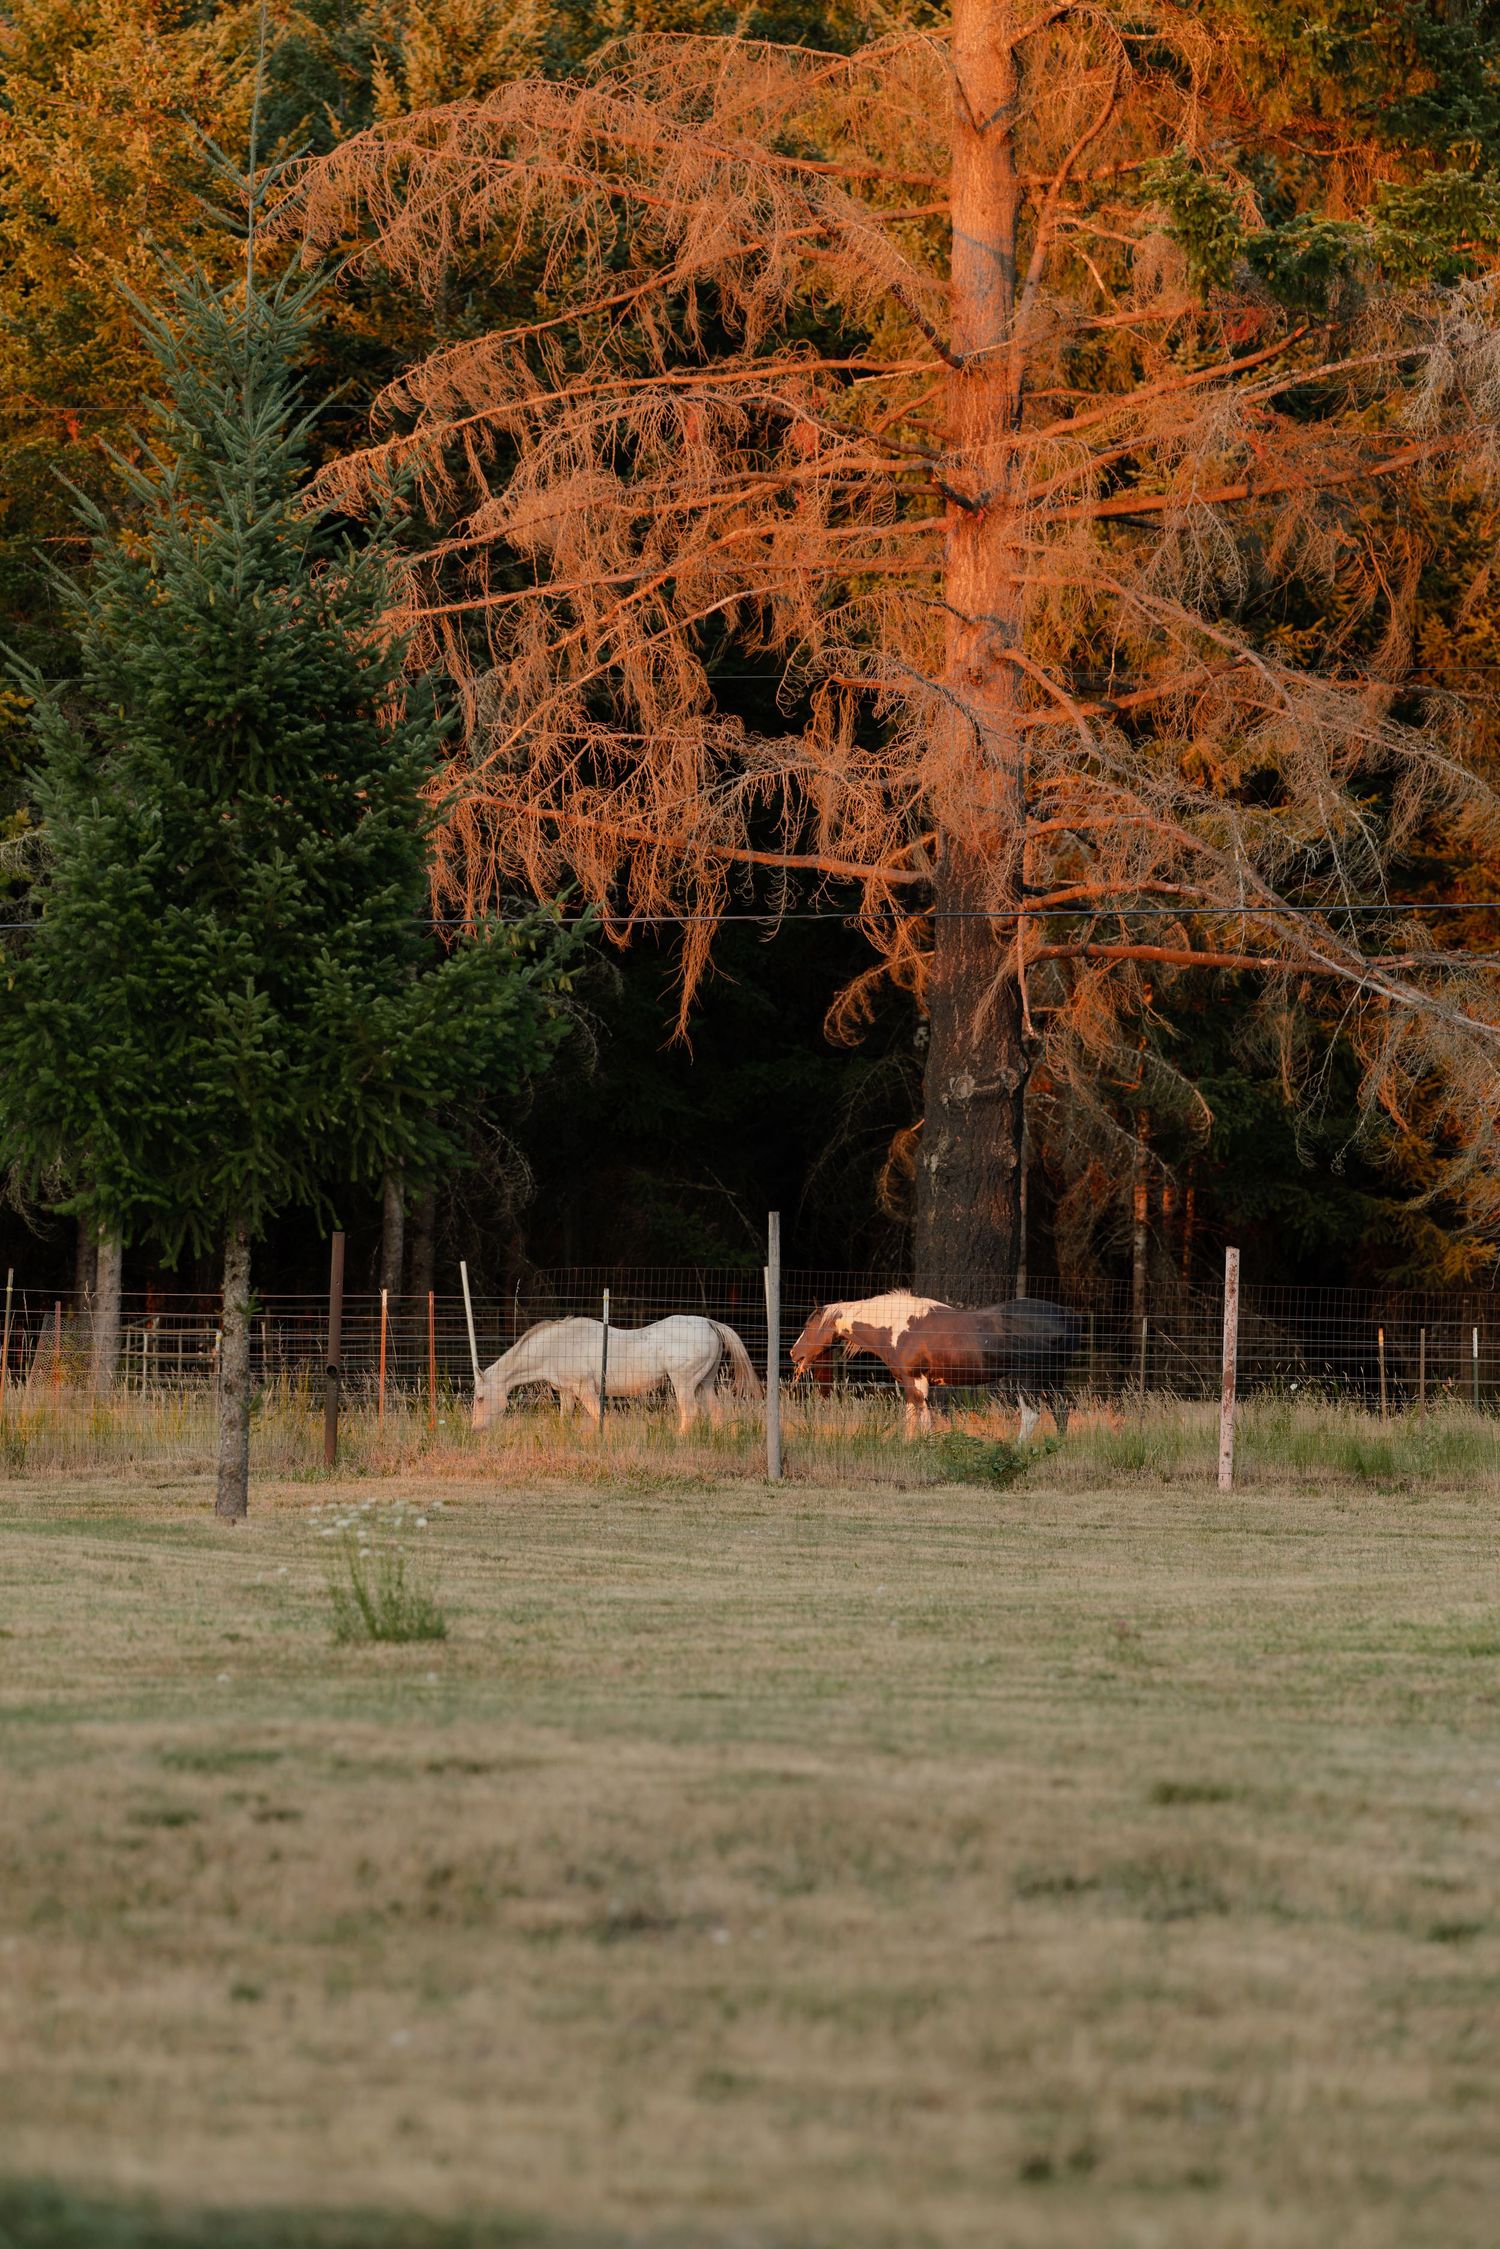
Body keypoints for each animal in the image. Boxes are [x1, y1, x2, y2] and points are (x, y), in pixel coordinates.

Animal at [472, 1314, 761, 1433]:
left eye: (480, 1398)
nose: (476, 1429)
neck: (557, 1345)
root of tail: (710, 1324)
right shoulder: (567, 1392)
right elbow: (565, 1419)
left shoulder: (585, 1390)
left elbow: (599, 1416)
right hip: (705, 1384)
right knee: (716, 1412)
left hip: (685, 1384)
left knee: (690, 1413)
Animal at [789, 1289, 1081, 1439]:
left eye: (809, 1325)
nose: (794, 1354)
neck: (897, 1326)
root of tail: (1064, 1315)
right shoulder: (909, 1383)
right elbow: (911, 1418)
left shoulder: (917, 1381)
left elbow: (924, 1419)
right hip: (1052, 1378)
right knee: (1061, 1412)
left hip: (1026, 1379)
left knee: (1031, 1414)